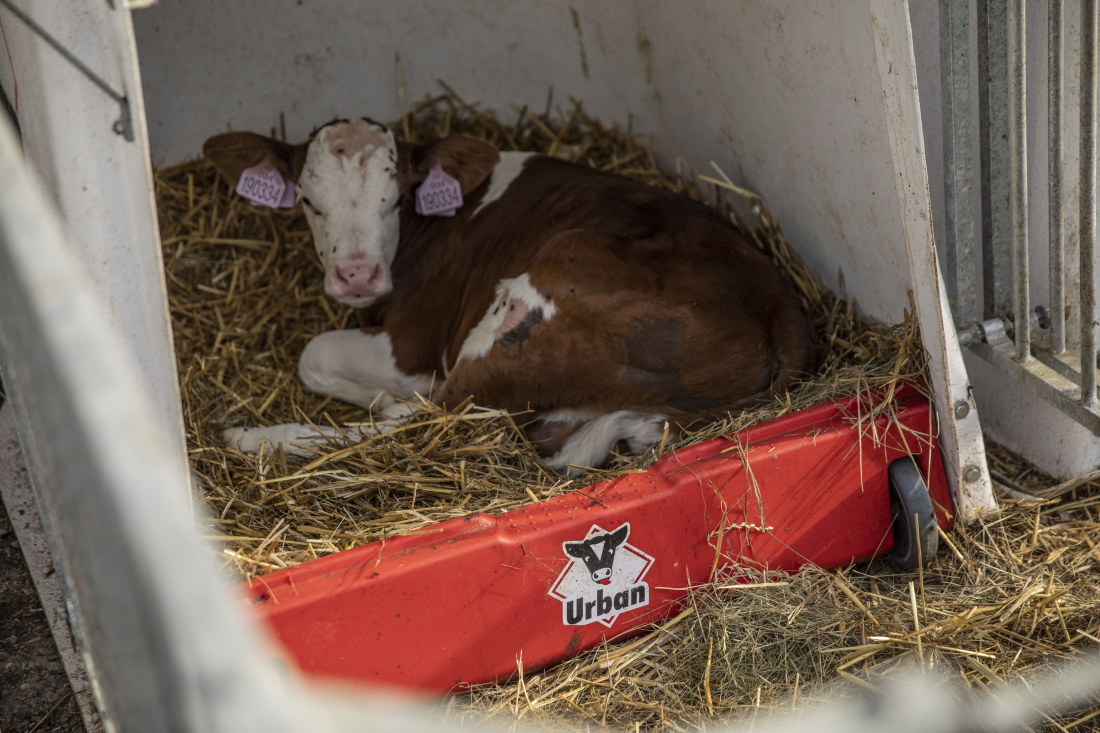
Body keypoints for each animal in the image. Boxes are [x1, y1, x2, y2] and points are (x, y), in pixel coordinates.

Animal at [202, 118, 819, 475]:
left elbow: (314, 357)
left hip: (543, 286)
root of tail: (783, 320)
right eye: (308, 200)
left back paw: (250, 436)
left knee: (438, 417)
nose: (357, 274)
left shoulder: (414, 344)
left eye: (396, 198)